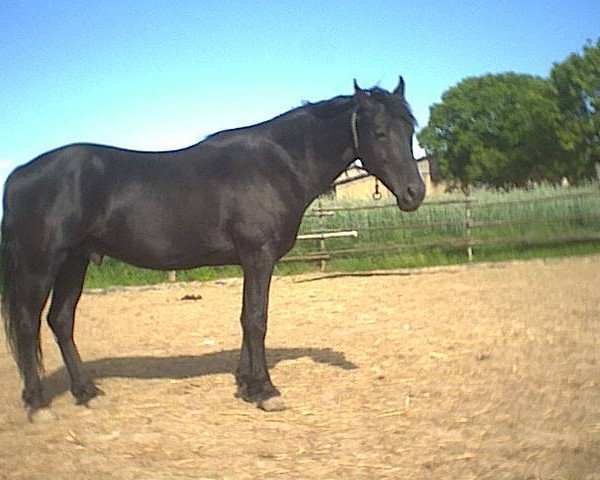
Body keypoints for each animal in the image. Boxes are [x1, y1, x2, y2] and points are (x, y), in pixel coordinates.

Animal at [1, 77, 422, 418]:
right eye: (379, 132)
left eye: (410, 129)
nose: (415, 193)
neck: (278, 163)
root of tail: (19, 174)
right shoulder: (259, 256)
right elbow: (256, 319)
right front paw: (266, 391)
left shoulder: (251, 261)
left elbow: (245, 318)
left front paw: (246, 384)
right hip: (43, 265)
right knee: (26, 323)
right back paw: (38, 403)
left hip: (75, 261)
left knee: (61, 321)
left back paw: (87, 392)